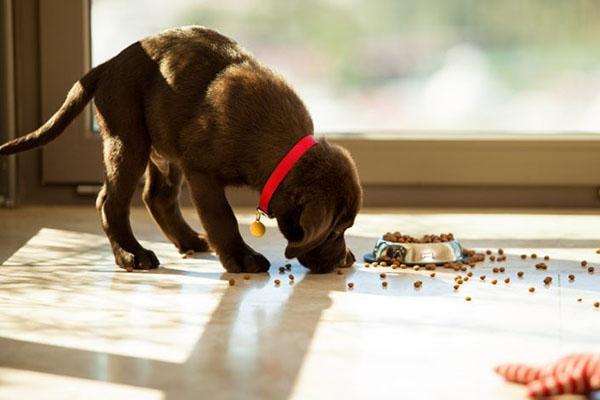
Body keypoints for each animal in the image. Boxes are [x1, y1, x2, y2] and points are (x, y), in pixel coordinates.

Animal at [1, 26, 360, 274]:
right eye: (336, 230)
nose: (344, 261)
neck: (279, 147)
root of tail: (107, 64)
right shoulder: (201, 170)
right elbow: (222, 217)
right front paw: (241, 258)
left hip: (163, 148)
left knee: (156, 197)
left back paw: (189, 241)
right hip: (128, 140)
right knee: (110, 202)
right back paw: (131, 255)